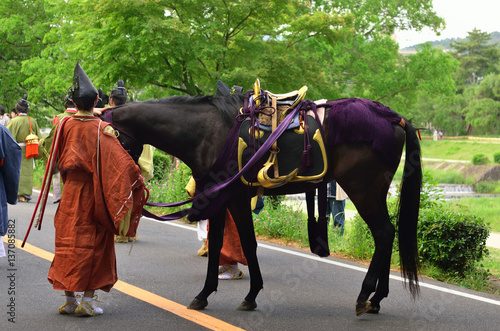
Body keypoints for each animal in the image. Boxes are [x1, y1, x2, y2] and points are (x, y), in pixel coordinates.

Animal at [104, 90, 422, 316]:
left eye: (108, 136)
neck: (206, 131)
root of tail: (393, 117)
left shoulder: (233, 197)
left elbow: (246, 243)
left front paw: (250, 294)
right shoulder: (218, 197)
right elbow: (218, 244)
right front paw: (206, 294)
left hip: (361, 188)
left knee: (383, 233)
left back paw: (365, 296)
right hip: (376, 191)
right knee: (387, 234)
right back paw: (377, 299)